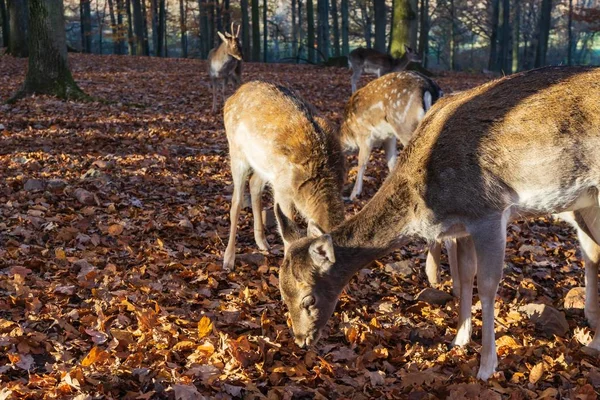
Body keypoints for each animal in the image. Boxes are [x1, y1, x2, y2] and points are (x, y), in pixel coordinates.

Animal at [223, 80, 346, 270]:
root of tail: (232, 96)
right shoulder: (283, 190)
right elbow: (288, 233)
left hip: (264, 165)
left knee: (254, 184)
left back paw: (262, 242)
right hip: (236, 153)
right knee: (236, 201)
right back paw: (228, 259)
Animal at [276, 66, 600, 382]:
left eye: (308, 300)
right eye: (281, 292)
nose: (301, 340)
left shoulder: (488, 209)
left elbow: (487, 285)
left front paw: (486, 366)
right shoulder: (464, 226)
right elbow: (466, 275)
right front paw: (459, 339)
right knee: (593, 253)